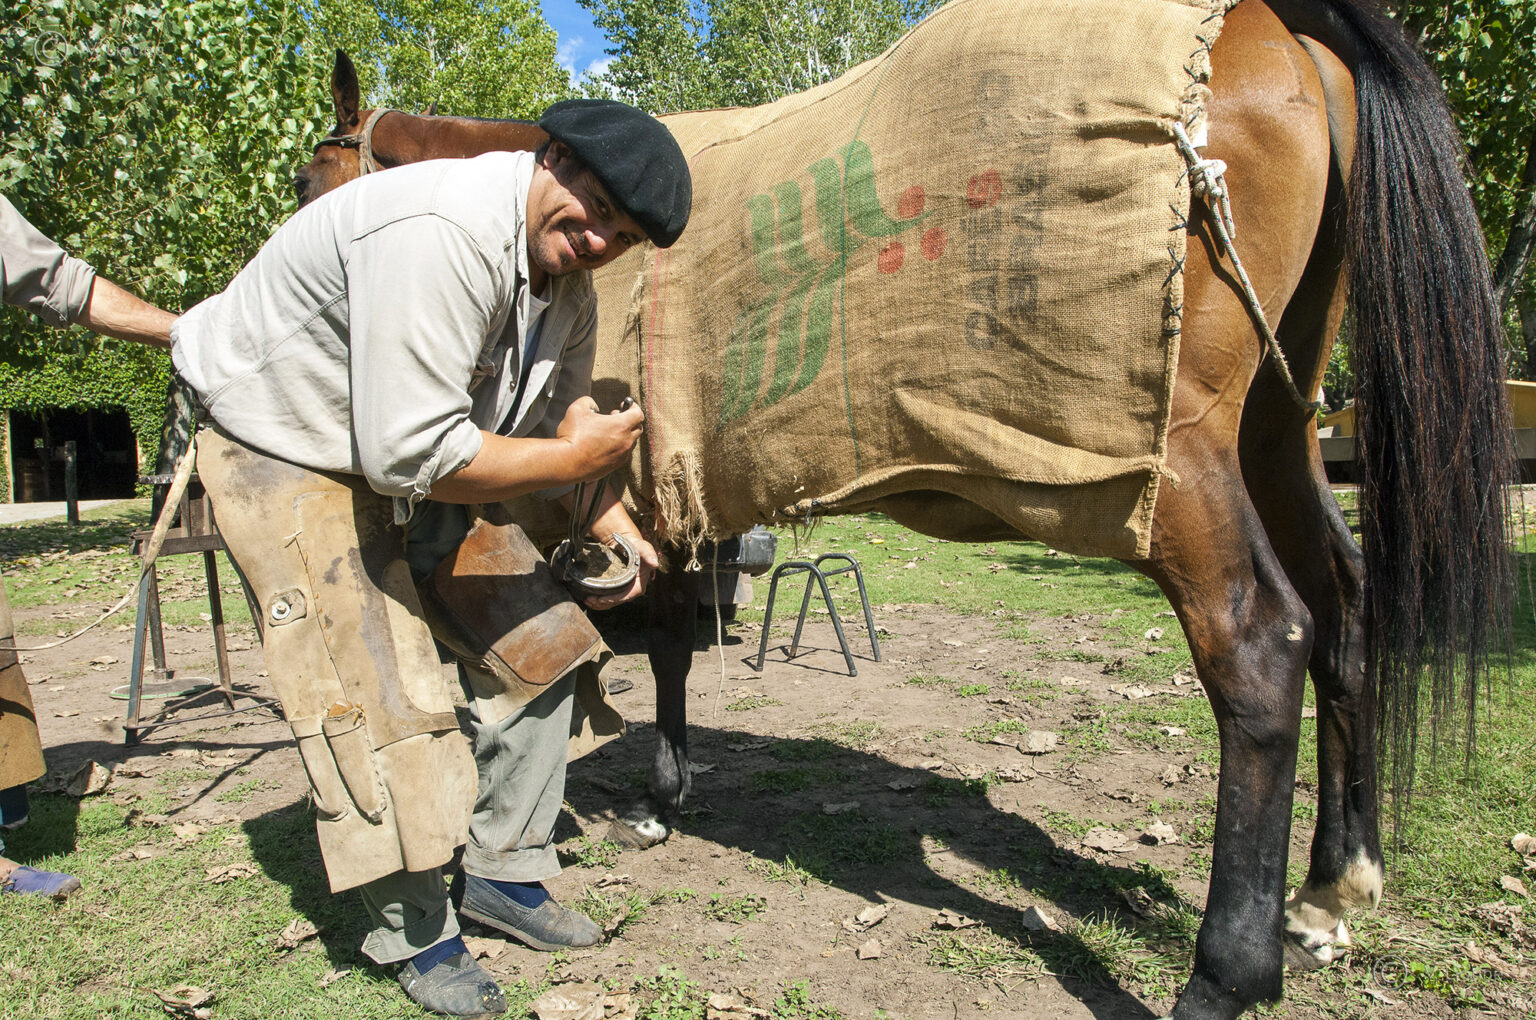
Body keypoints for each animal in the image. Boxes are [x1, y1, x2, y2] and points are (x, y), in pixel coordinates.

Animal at [290, 2, 1513, 1016]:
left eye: (313, 179)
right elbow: (674, 641)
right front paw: (662, 797)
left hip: (1184, 466)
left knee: (1261, 645)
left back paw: (1226, 973)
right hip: (1277, 430)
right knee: (1345, 610)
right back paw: (1331, 890)